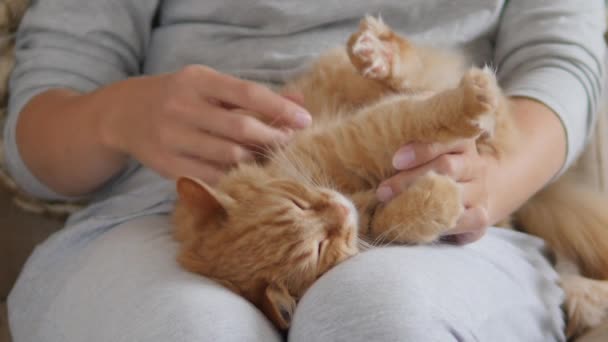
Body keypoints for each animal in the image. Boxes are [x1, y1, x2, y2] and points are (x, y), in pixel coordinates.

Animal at [171, 16, 608, 336]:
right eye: (316, 249)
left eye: (297, 203)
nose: (337, 213)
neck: (350, 192)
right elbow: (398, 221)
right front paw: (436, 197)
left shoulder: (360, 135)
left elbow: (417, 116)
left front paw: (469, 101)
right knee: (498, 126)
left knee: (439, 87)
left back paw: (381, 54)